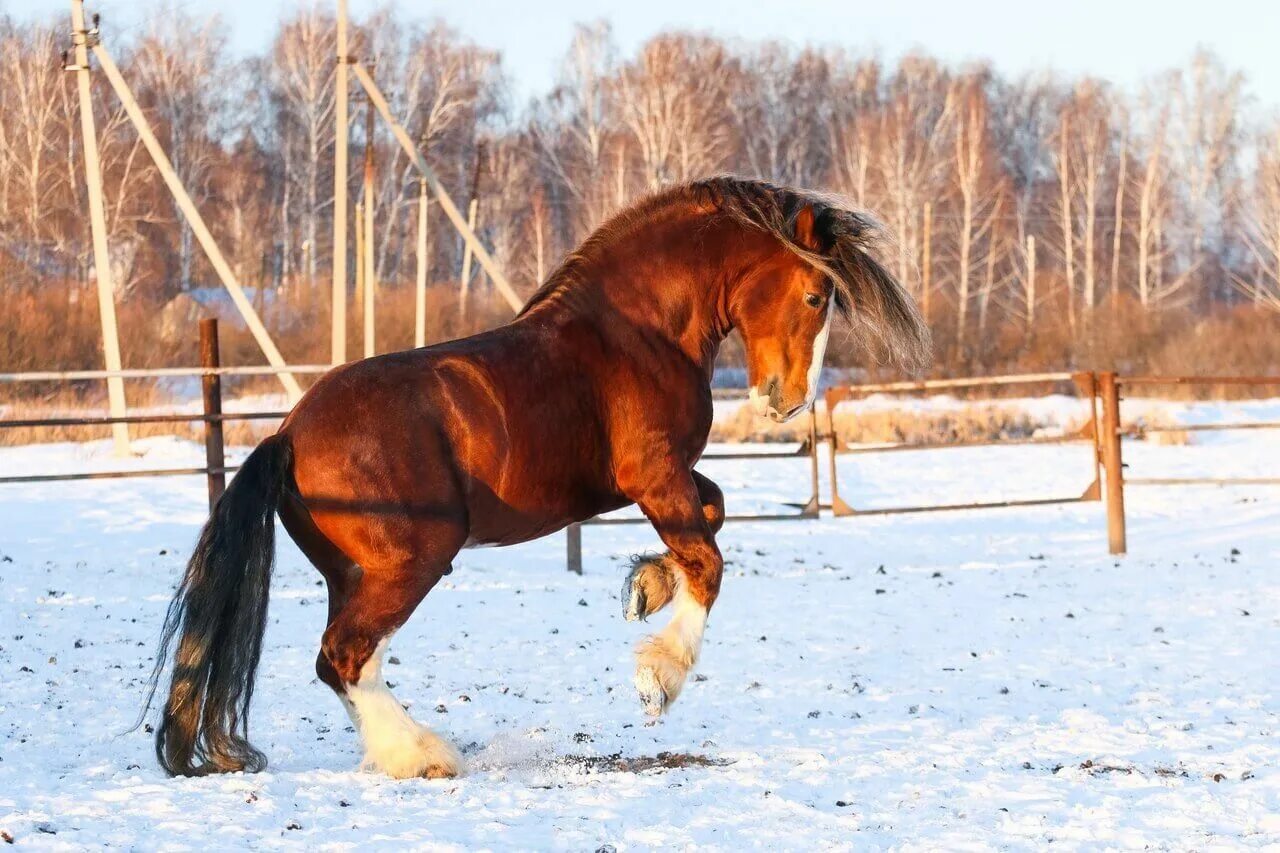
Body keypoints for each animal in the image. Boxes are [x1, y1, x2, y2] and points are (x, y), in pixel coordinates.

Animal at [147, 175, 931, 773]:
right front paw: (658, 679)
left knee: (345, 660)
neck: (639, 331)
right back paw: (426, 755)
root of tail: (286, 434)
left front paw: (645, 587)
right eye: (815, 296)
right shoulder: (652, 474)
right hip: (413, 560)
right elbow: (708, 560)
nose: (787, 399)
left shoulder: (662, 477)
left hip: (354, 572)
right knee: (344, 655)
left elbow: (712, 513)